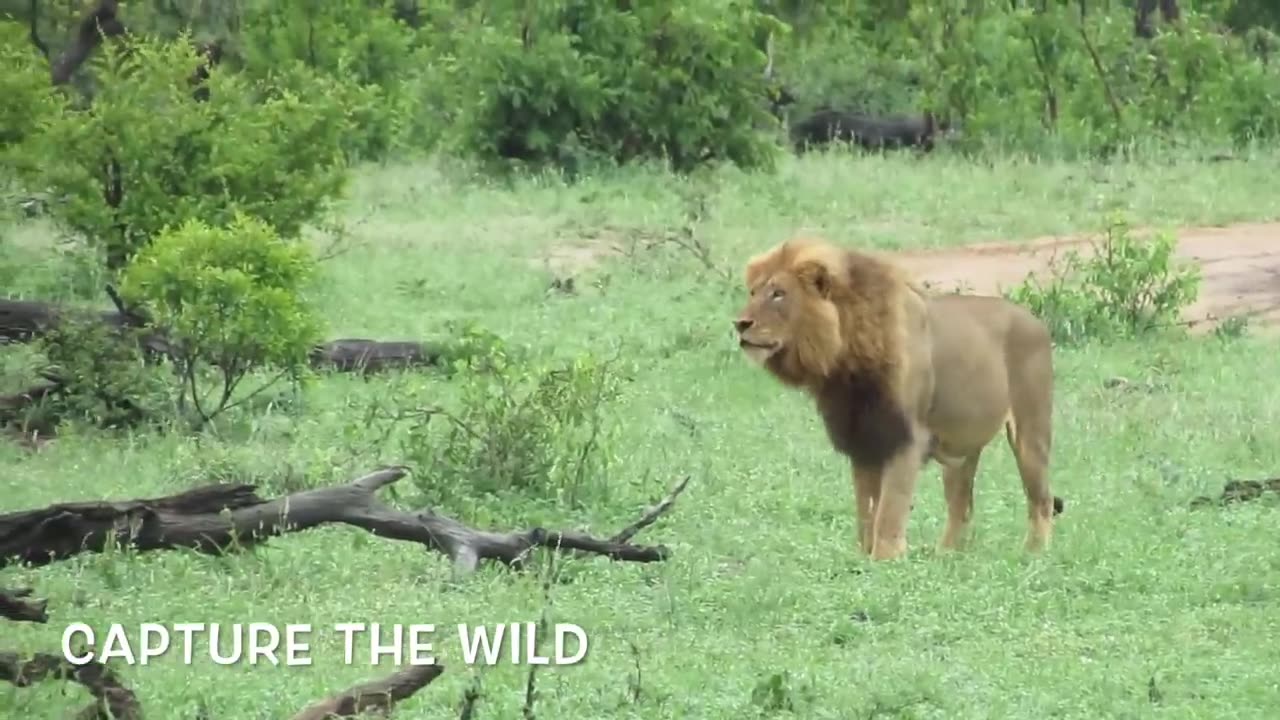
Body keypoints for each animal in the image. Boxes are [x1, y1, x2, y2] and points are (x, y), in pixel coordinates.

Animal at [737, 237, 1064, 561]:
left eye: (778, 294)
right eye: (753, 292)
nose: (740, 324)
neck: (846, 361)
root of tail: (1036, 321)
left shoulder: (906, 438)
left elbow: (889, 509)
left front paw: (885, 559)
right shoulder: (863, 440)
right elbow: (866, 510)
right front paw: (863, 556)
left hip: (1030, 433)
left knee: (1042, 500)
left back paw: (1033, 554)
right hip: (961, 451)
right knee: (962, 505)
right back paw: (945, 555)